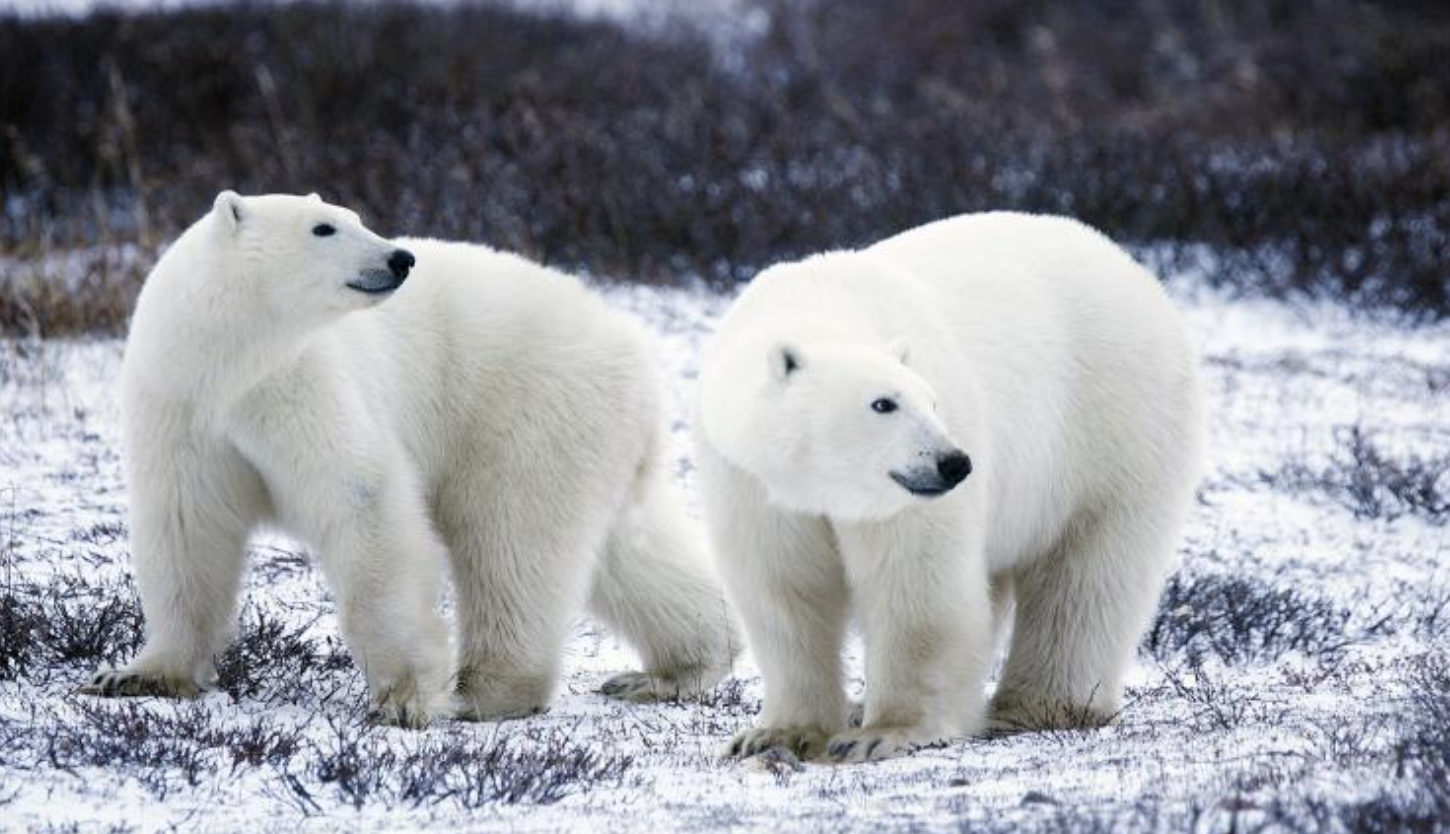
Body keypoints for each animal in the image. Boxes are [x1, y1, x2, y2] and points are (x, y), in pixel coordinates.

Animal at [80, 192, 737, 726]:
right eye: (324, 227)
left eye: (355, 216)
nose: (400, 258)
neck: (229, 363)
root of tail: (633, 345)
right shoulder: (181, 407)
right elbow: (186, 528)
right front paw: (136, 675)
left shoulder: (300, 384)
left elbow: (363, 501)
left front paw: (403, 699)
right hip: (592, 433)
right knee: (626, 548)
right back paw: (676, 668)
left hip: (525, 407)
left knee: (510, 540)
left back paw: (486, 690)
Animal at [696, 212, 1203, 763]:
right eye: (883, 403)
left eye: (932, 400)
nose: (954, 463)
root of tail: (1135, 270)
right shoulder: (752, 480)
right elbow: (784, 589)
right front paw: (775, 734)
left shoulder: (905, 500)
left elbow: (917, 584)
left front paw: (882, 732)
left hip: (1113, 425)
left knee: (1087, 574)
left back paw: (1037, 706)